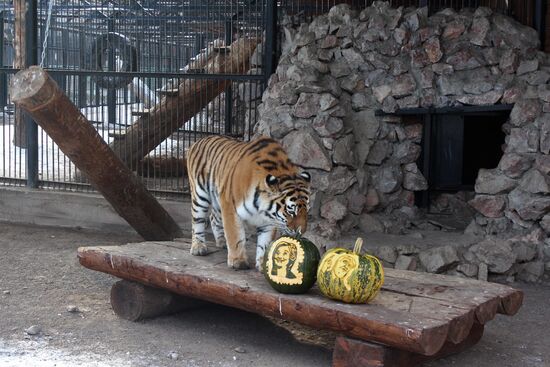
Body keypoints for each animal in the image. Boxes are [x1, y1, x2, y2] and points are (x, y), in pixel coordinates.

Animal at [188, 135, 312, 270]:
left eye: (307, 211)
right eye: (291, 211)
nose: (301, 232)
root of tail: (201, 139)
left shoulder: (269, 220)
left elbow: (265, 242)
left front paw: (264, 264)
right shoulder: (230, 207)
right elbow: (235, 236)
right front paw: (238, 261)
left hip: (218, 199)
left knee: (213, 218)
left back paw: (221, 242)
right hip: (200, 195)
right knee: (197, 221)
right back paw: (198, 247)